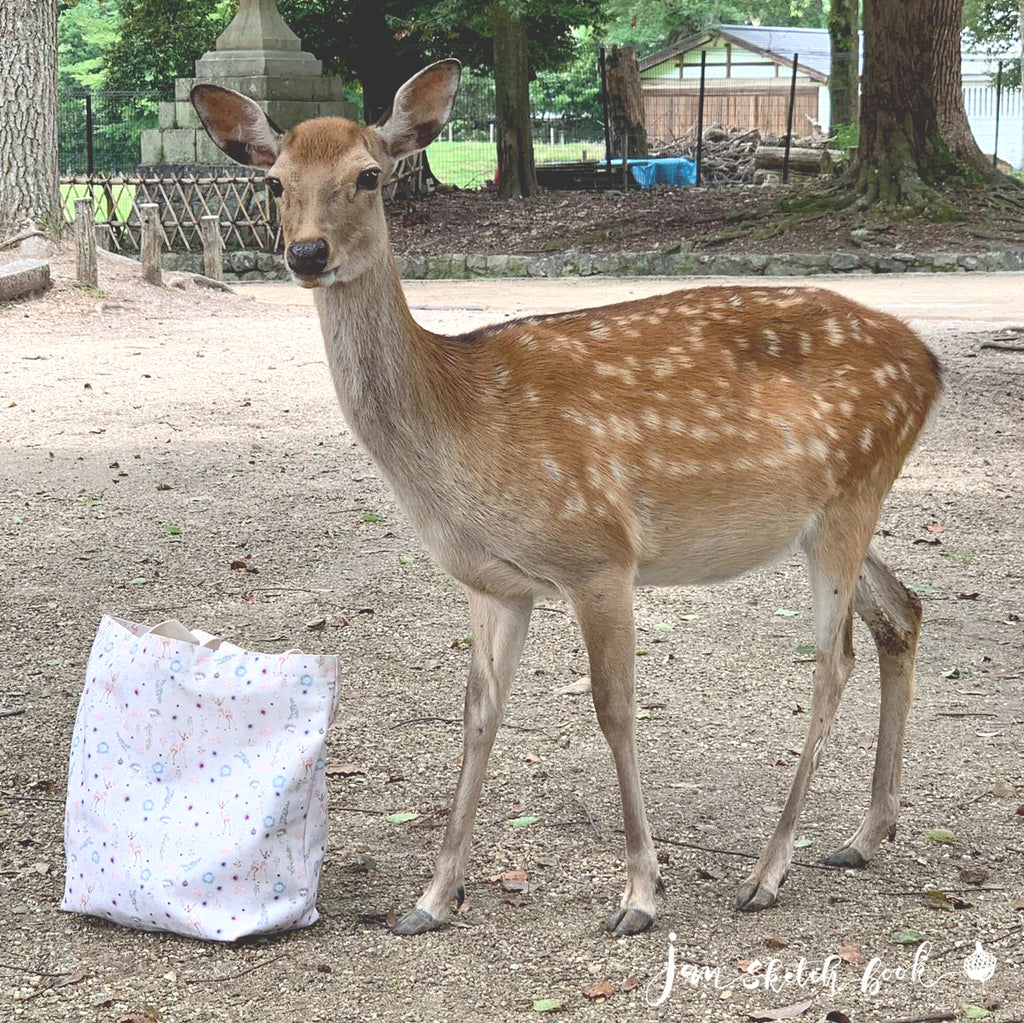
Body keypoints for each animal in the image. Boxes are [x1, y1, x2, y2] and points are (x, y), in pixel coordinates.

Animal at [190, 58, 942, 938]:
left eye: (369, 175)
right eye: (274, 181)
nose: (307, 252)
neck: (462, 422)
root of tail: (930, 363)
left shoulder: (599, 553)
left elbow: (615, 707)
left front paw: (641, 893)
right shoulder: (493, 580)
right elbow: (479, 712)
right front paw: (433, 897)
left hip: (852, 495)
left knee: (833, 661)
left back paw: (767, 870)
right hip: (836, 509)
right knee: (902, 611)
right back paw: (865, 833)